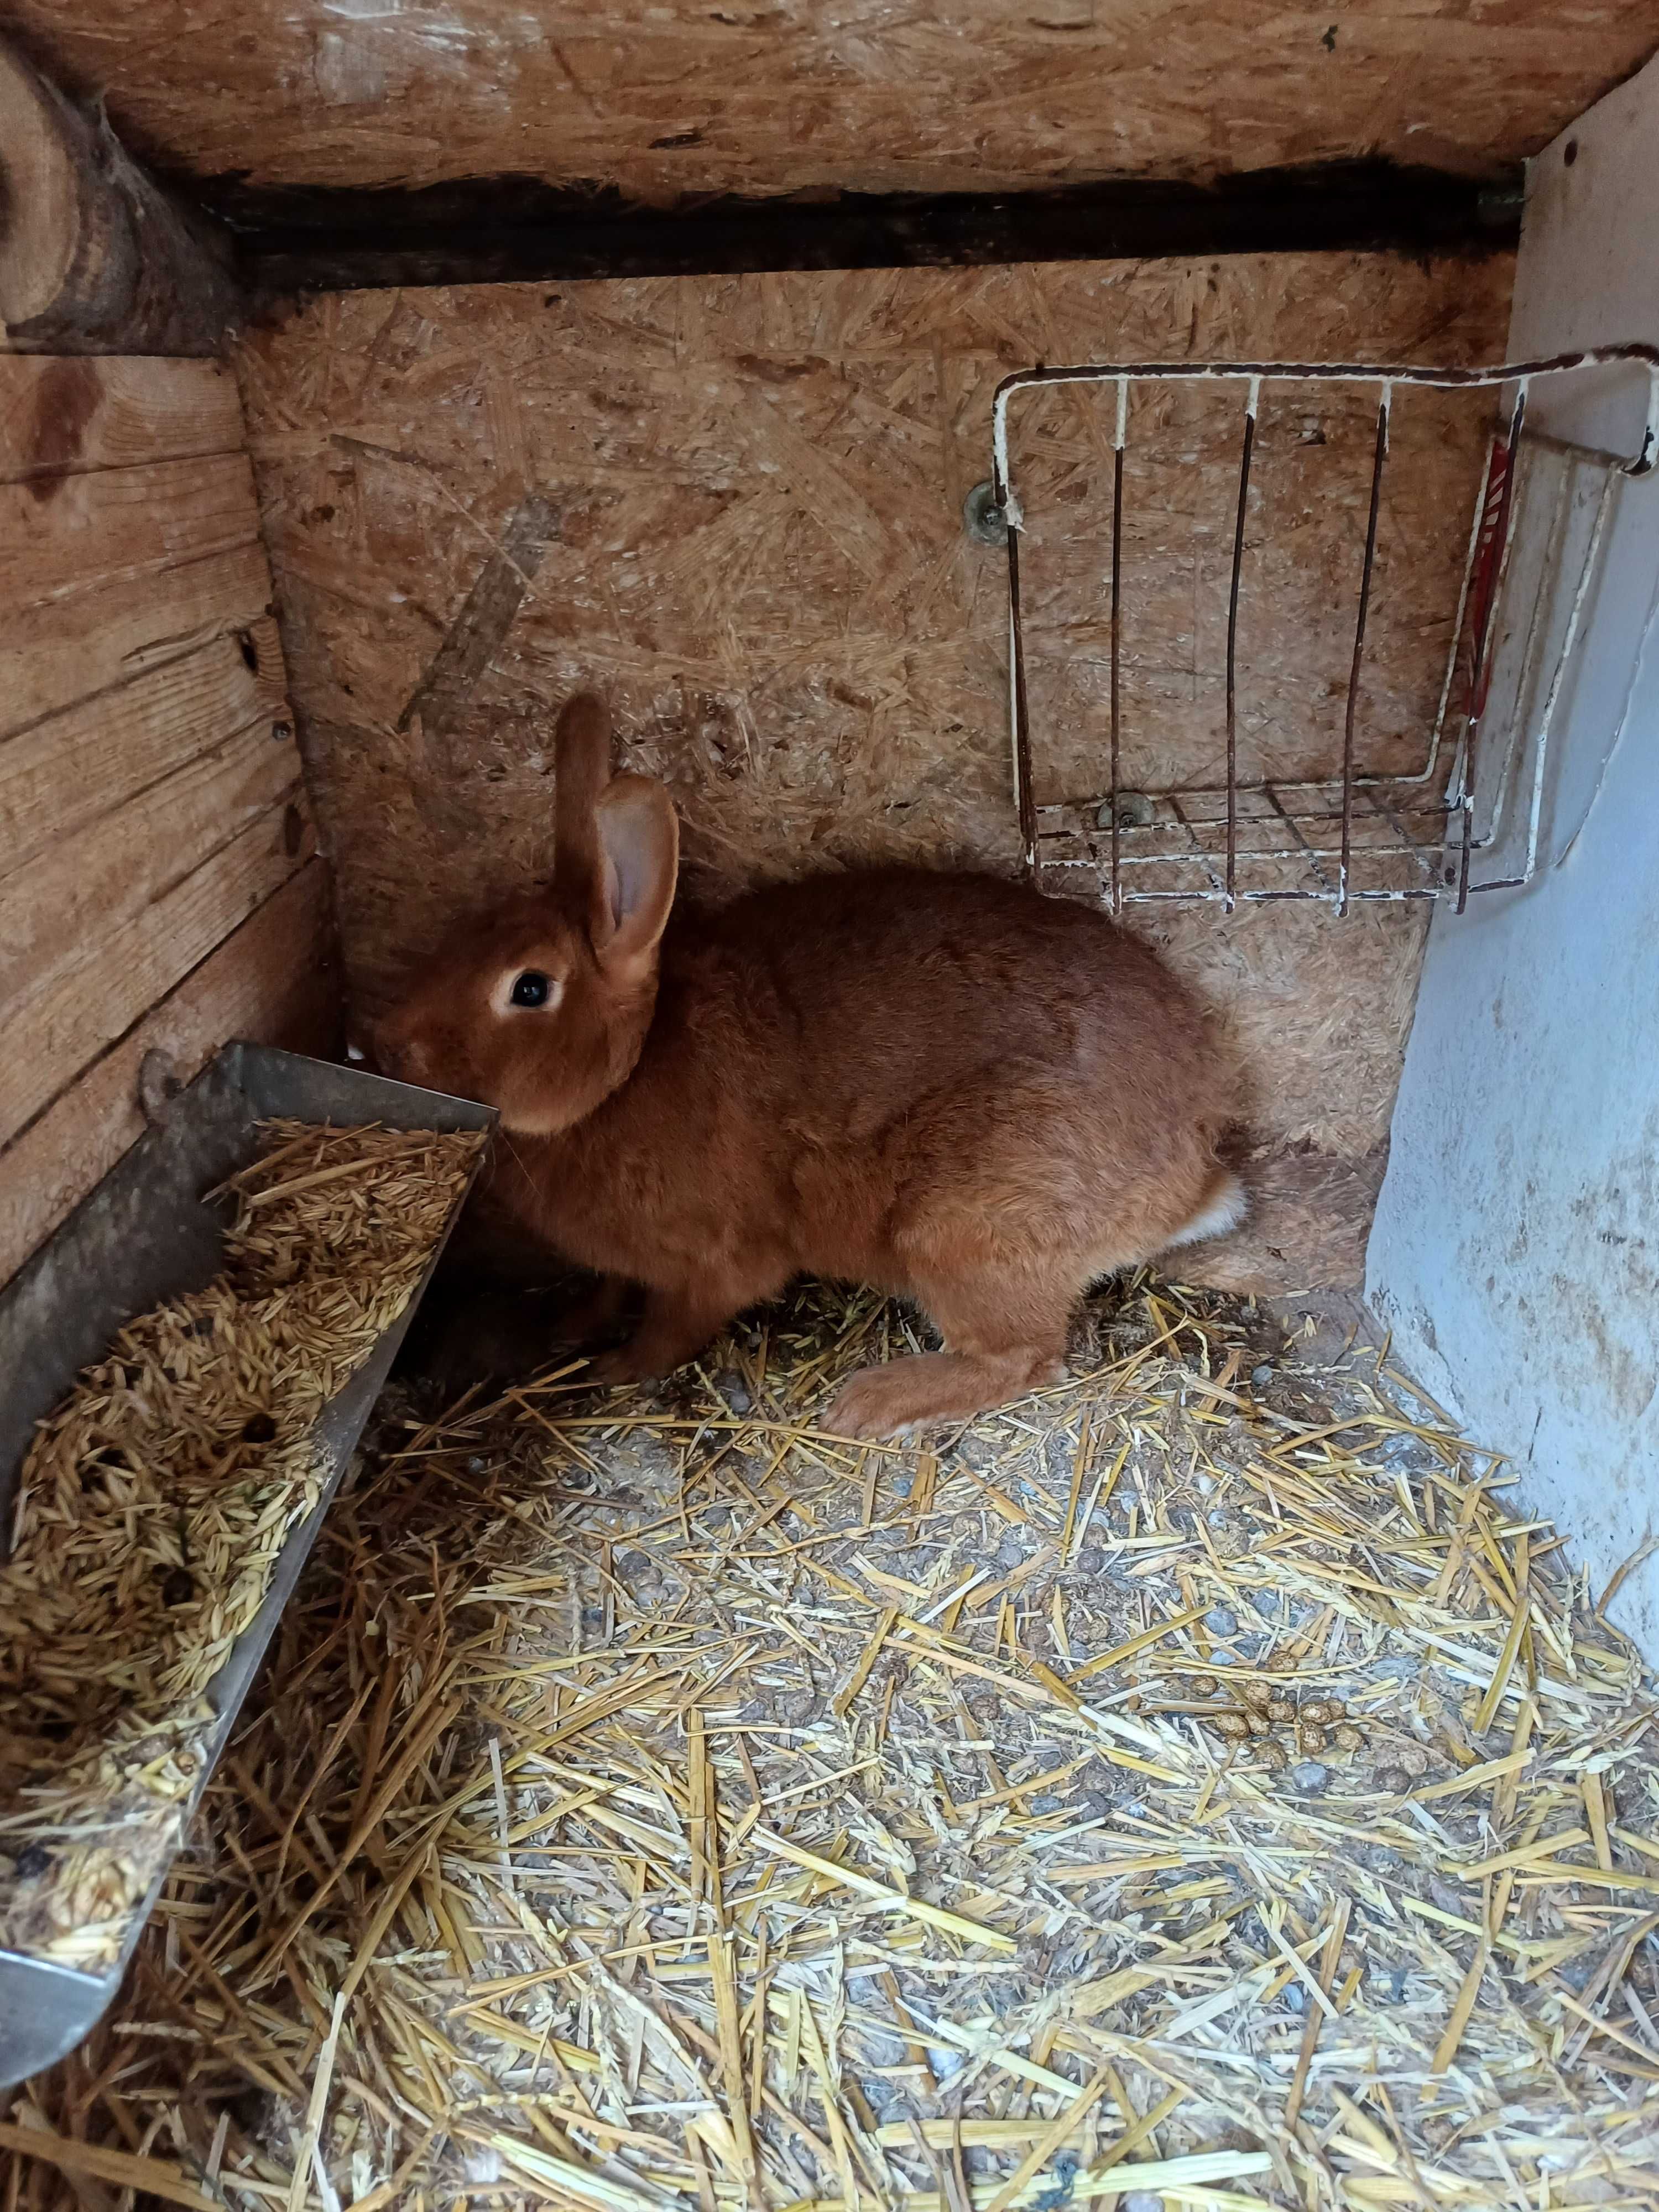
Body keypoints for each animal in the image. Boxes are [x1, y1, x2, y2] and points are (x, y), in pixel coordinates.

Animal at [374, 699, 1239, 1442]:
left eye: (529, 989)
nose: (391, 1046)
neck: (622, 1077)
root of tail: (1192, 1177)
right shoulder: (623, 1262)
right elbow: (611, 1289)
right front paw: (571, 1328)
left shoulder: (712, 1266)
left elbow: (673, 1326)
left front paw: (615, 1367)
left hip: (967, 1223)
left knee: (1023, 1355)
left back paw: (870, 1403)